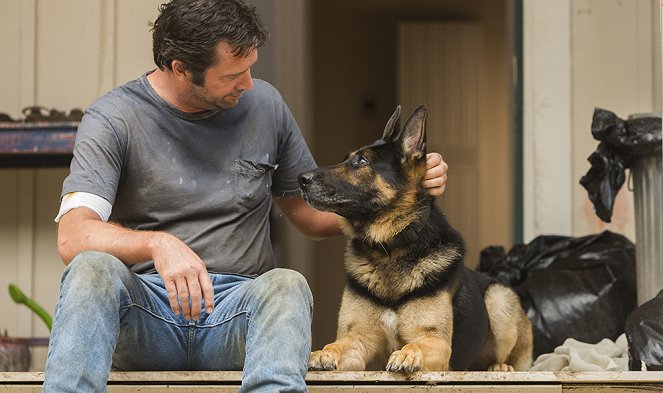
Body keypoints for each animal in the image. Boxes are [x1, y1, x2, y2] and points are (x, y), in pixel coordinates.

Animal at [298, 104, 532, 370]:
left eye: (361, 161)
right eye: (346, 158)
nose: (301, 179)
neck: (389, 247)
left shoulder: (436, 342)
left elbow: (416, 344)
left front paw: (407, 354)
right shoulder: (357, 338)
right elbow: (338, 344)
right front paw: (323, 352)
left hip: (500, 298)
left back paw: (500, 367)